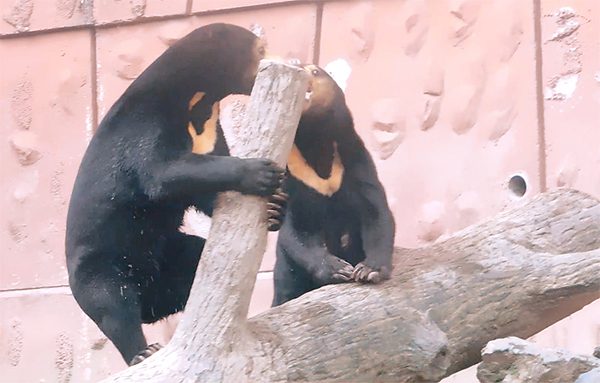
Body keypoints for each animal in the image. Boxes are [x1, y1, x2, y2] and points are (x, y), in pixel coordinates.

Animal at [67, 23, 288, 366]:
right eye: (260, 50)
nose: (288, 61)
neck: (198, 99)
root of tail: (151, 304)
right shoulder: (146, 123)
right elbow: (162, 172)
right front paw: (260, 172)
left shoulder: (208, 129)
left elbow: (203, 189)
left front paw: (277, 206)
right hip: (99, 263)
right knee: (112, 304)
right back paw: (142, 352)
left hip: (171, 254)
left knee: (195, 260)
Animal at [270, 64, 394, 308]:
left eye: (315, 71)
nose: (296, 64)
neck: (315, 138)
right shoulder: (295, 175)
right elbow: (297, 230)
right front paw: (338, 269)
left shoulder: (352, 158)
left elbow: (376, 212)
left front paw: (369, 270)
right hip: (285, 271)